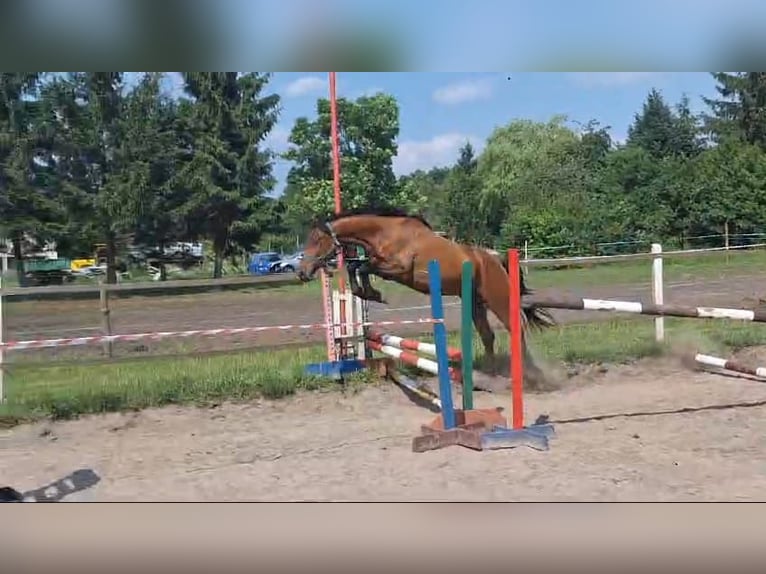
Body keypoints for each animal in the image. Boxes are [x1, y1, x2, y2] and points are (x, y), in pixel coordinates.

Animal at [296, 209, 556, 384]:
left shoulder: (398, 269)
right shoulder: (382, 266)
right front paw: (368, 292)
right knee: (488, 335)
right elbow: (356, 266)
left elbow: (362, 267)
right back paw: (492, 375)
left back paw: (530, 372)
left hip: (497, 298)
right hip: (474, 302)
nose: (301, 272)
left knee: (516, 329)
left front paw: (374, 293)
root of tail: (495, 259)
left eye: (316, 240)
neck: (384, 233)